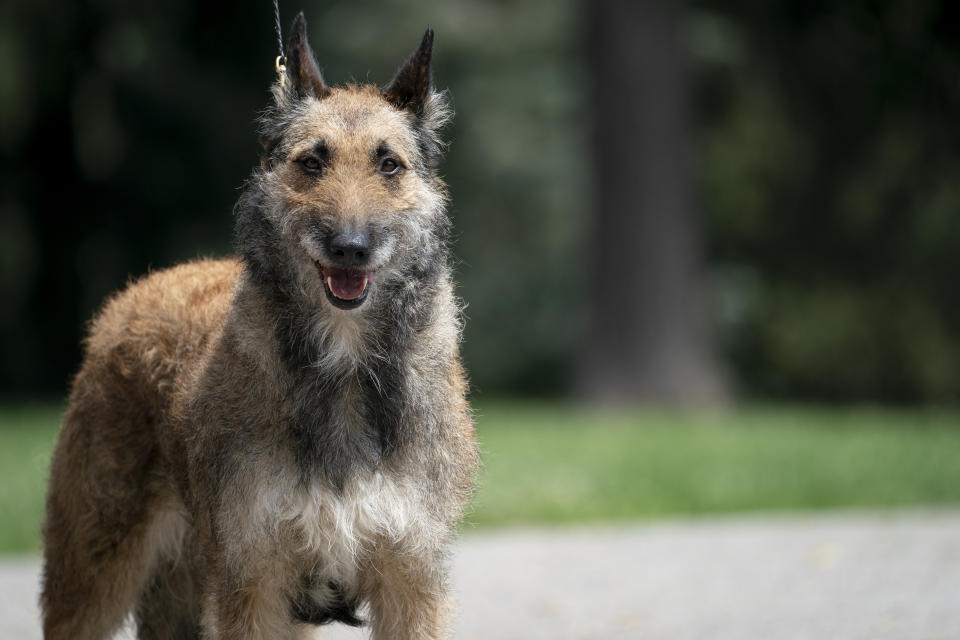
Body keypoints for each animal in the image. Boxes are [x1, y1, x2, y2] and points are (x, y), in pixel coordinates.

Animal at [40, 11, 476, 640]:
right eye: (312, 162)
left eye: (389, 164)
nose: (351, 248)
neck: (342, 368)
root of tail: (137, 291)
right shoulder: (253, 585)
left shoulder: (409, 581)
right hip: (92, 570)